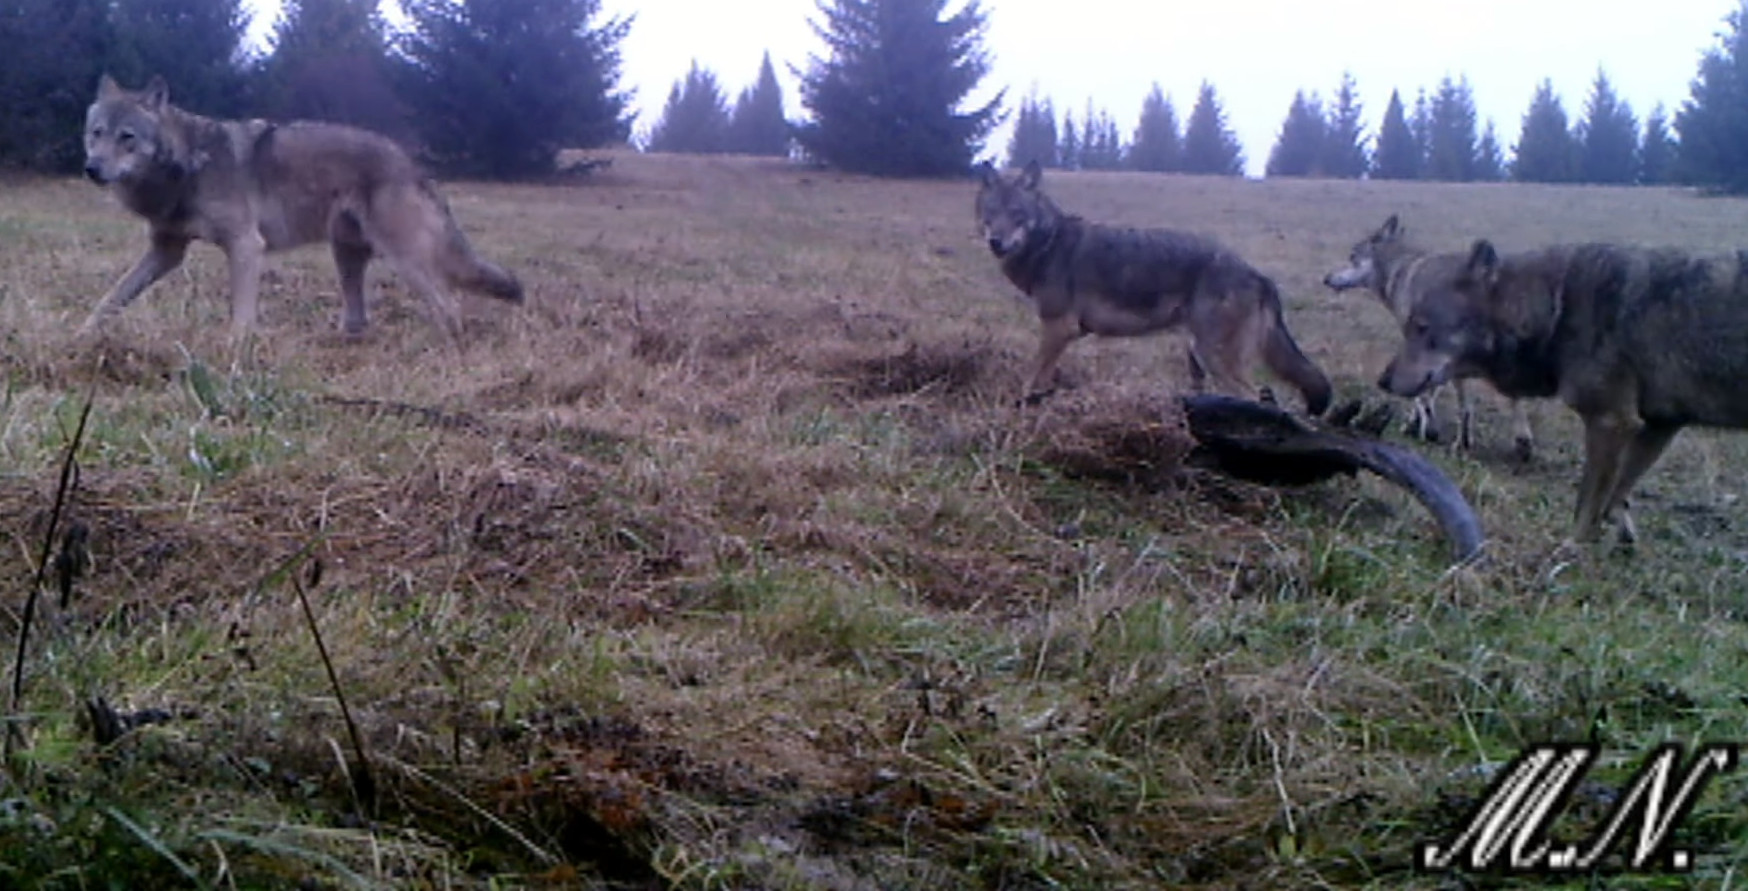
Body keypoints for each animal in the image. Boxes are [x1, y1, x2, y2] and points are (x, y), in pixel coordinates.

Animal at [82, 74, 517, 338]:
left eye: (127, 137)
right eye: (96, 133)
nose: (91, 169)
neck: (187, 164)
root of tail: (413, 165)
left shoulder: (246, 246)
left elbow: (241, 317)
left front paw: (234, 352)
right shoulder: (165, 252)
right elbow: (111, 298)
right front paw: (82, 336)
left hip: (404, 261)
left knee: (449, 308)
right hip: (347, 258)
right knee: (360, 318)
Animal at [978, 159, 1328, 414]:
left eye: (1017, 214)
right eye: (990, 214)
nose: (996, 242)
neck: (1049, 244)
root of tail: (1260, 276)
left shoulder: (1058, 329)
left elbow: (1032, 379)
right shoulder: (1061, 334)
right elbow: (1042, 381)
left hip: (1214, 359)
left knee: (1255, 398)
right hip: (1198, 358)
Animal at [1321, 212, 1531, 454]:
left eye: (1352, 257)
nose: (1326, 278)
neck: (1399, 269)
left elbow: (1423, 394)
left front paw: (1421, 426)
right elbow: (1431, 390)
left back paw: (1466, 441)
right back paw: (1522, 441)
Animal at [1377, 237, 1748, 541]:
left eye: (1421, 326)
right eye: (1410, 327)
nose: (1382, 380)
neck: (1557, 307)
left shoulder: (1610, 421)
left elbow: (1587, 508)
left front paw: (1570, 556)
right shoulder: (1661, 425)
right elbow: (1616, 495)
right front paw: (1620, 536)